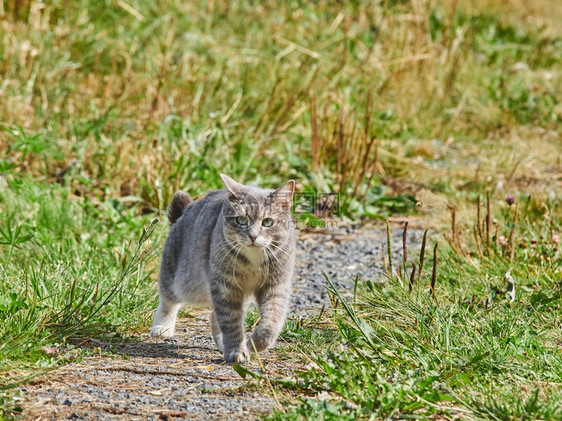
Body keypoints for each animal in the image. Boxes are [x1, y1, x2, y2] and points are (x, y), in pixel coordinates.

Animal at [151, 172, 296, 362]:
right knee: (169, 299)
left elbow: (271, 322)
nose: (253, 236)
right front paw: (236, 350)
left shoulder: (275, 285)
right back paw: (162, 327)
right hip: (179, 277)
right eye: (241, 220)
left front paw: (253, 344)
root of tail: (186, 210)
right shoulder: (226, 287)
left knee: (214, 316)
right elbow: (230, 322)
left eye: (268, 222)